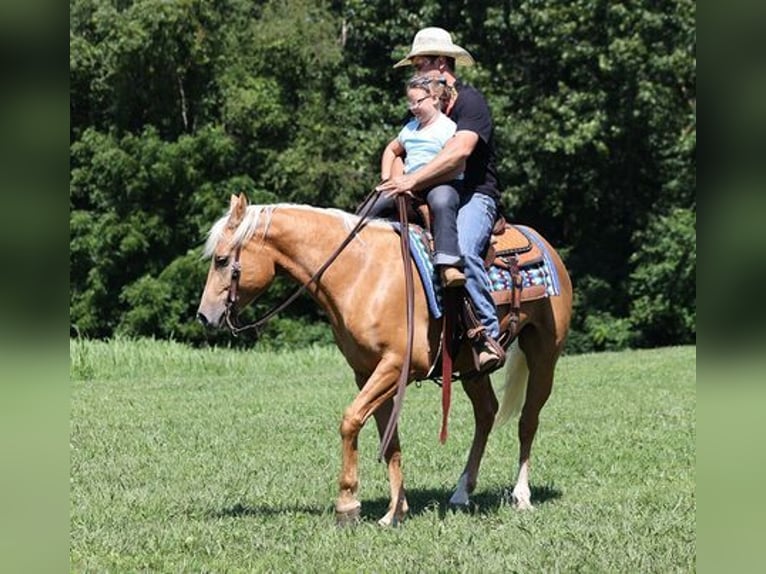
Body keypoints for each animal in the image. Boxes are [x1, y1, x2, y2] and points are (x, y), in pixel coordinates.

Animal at [195, 194, 572, 528]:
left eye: (222, 260)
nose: (204, 316)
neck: (360, 273)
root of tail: (544, 243)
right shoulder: (366, 372)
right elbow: (389, 439)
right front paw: (396, 511)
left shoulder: (395, 366)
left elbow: (350, 420)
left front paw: (347, 504)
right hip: (472, 367)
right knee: (487, 413)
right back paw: (462, 492)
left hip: (544, 355)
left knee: (527, 421)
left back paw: (521, 496)